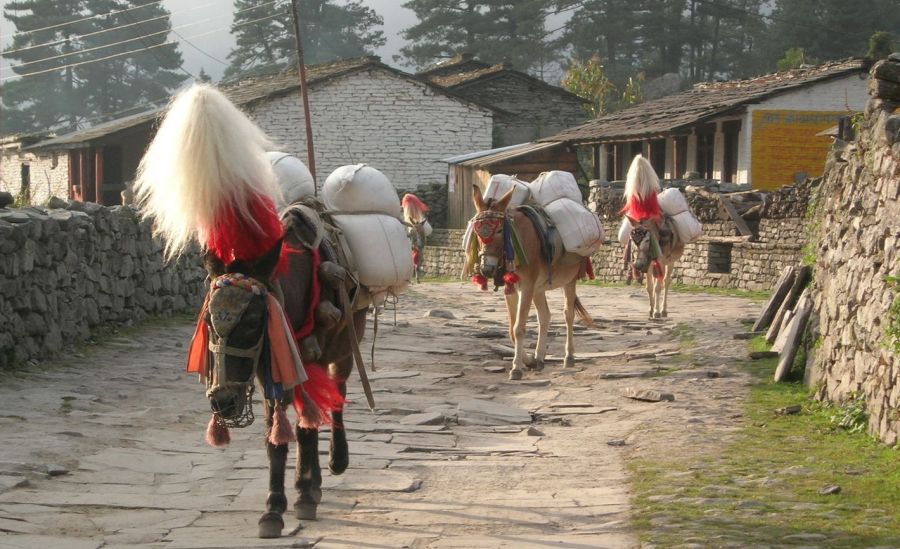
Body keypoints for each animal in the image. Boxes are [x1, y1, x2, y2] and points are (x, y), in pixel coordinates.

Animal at [132, 83, 364, 536]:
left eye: (255, 319)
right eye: (208, 320)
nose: (222, 402)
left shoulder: (297, 355)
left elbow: (299, 423)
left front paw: (297, 497)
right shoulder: (271, 364)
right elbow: (278, 434)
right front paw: (277, 505)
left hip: (346, 342)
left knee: (338, 393)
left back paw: (334, 463)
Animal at [468, 186, 596, 378]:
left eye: (499, 230)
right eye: (476, 230)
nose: (486, 269)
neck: (515, 241)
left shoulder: (527, 286)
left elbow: (519, 328)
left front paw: (516, 368)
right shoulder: (513, 289)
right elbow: (512, 329)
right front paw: (527, 360)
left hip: (569, 280)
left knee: (568, 314)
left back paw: (569, 357)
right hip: (539, 287)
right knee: (545, 316)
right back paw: (539, 358)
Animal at [624, 154, 684, 316]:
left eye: (647, 240)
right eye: (632, 240)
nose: (637, 265)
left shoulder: (660, 261)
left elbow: (658, 286)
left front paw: (656, 311)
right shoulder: (649, 264)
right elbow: (649, 287)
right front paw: (650, 310)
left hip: (671, 261)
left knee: (666, 282)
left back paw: (663, 310)